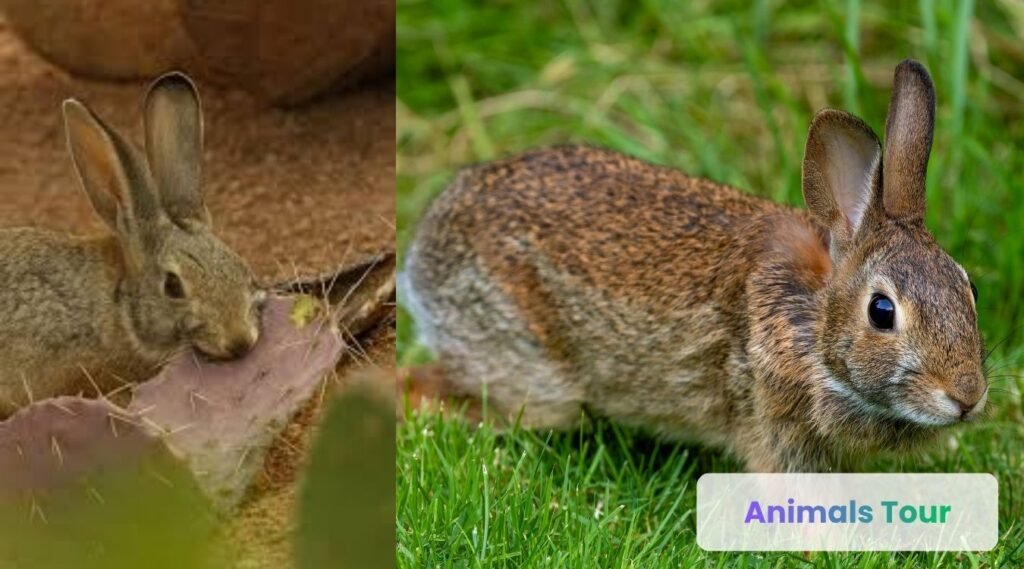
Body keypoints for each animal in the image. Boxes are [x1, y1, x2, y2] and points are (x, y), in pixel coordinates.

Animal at [400, 59, 987, 472]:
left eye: (969, 288)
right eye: (882, 312)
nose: (967, 398)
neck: (813, 322)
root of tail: (427, 239)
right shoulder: (773, 427)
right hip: (527, 364)